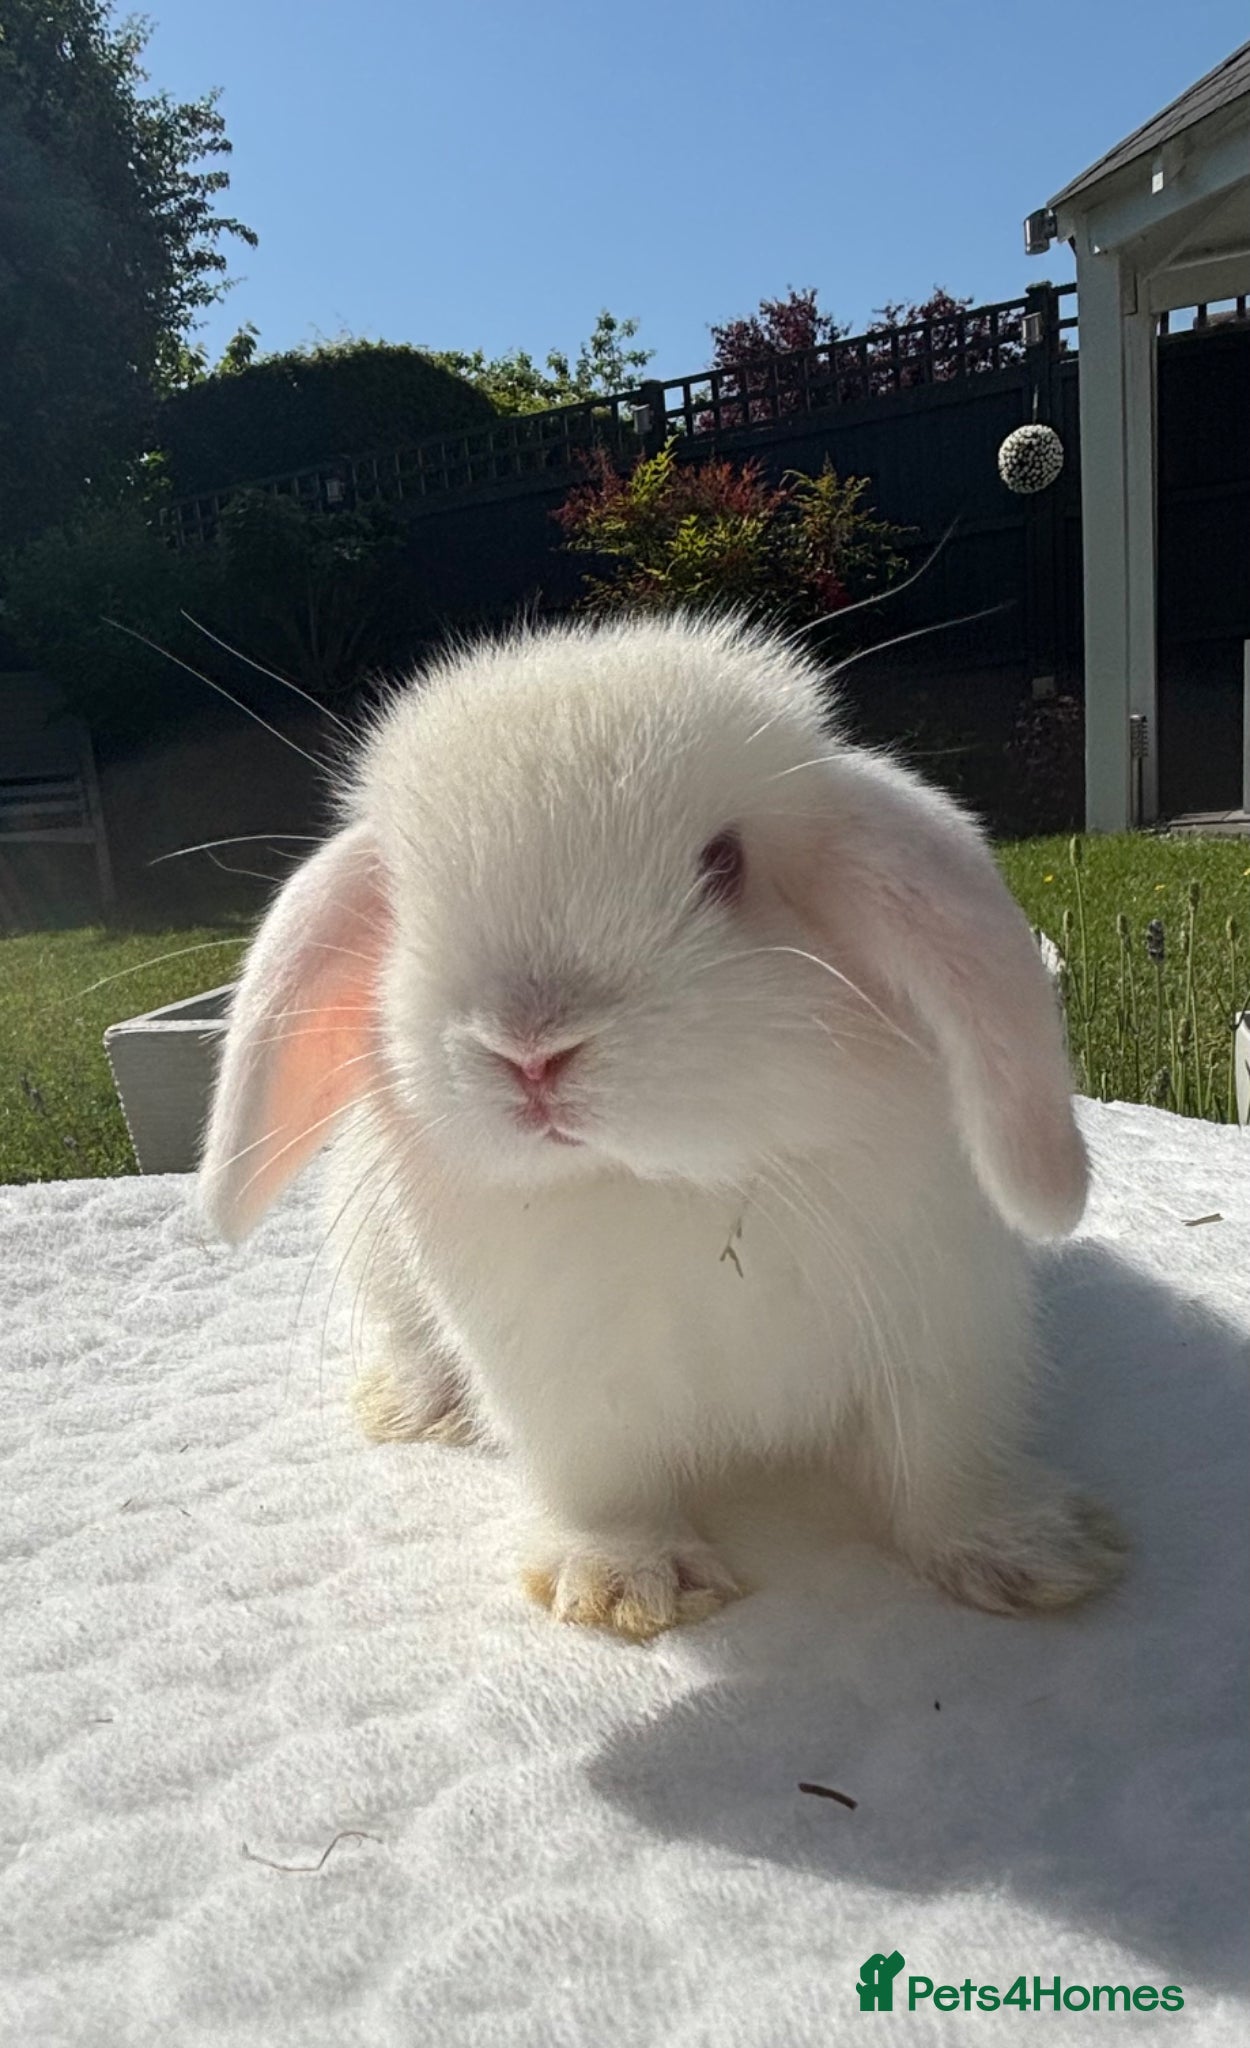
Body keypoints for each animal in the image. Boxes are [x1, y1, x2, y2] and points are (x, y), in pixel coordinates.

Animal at [198, 609, 1126, 1640]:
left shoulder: (948, 1336)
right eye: (404, 899)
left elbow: (946, 1465)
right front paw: (627, 1586)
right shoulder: (565, 1393)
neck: (674, 1185)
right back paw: (415, 1406)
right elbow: (605, 1486)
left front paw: (1033, 1558)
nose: (529, 1049)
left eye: (725, 862)